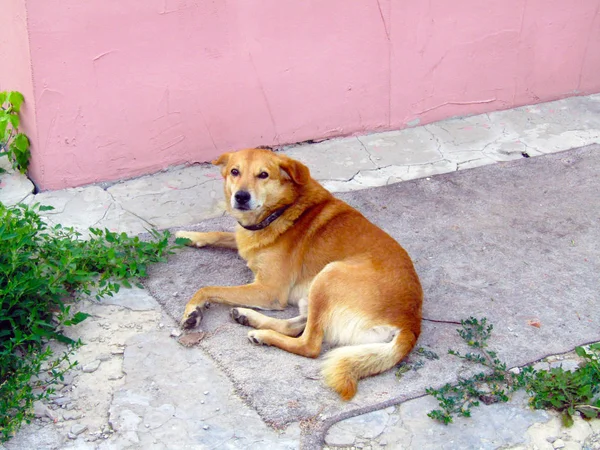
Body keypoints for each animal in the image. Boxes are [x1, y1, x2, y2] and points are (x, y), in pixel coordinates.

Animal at [177, 149, 422, 400]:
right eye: (235, 172)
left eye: (263, 175)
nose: (241, 197)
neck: (279, 210)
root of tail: (410, 324)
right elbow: (221, 234)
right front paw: (189, 235)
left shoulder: (269, 291)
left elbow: (208, 288)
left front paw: (192, 311)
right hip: (314, 294)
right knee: (298, 326)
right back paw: (249, 318)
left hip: (328, 275)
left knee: (309, 345)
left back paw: (263, 335)